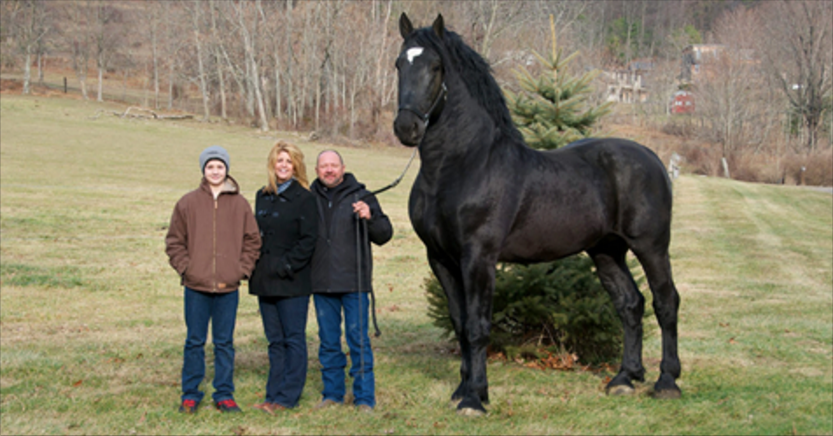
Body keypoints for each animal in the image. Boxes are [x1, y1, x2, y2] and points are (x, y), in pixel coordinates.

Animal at [394, 13, 680, 416]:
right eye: (399, 64)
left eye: (435, 67)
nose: (407, 128)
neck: (463, 165)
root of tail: (652, 158)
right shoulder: (440, 259)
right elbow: (460, 323)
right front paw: (464, 388)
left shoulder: (478, 257)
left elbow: (478, 326)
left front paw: (475, 398)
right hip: (607, 251)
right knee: (630, 305)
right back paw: (625, 378)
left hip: (651, 246)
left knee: (665, 302)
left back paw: (667, 381)